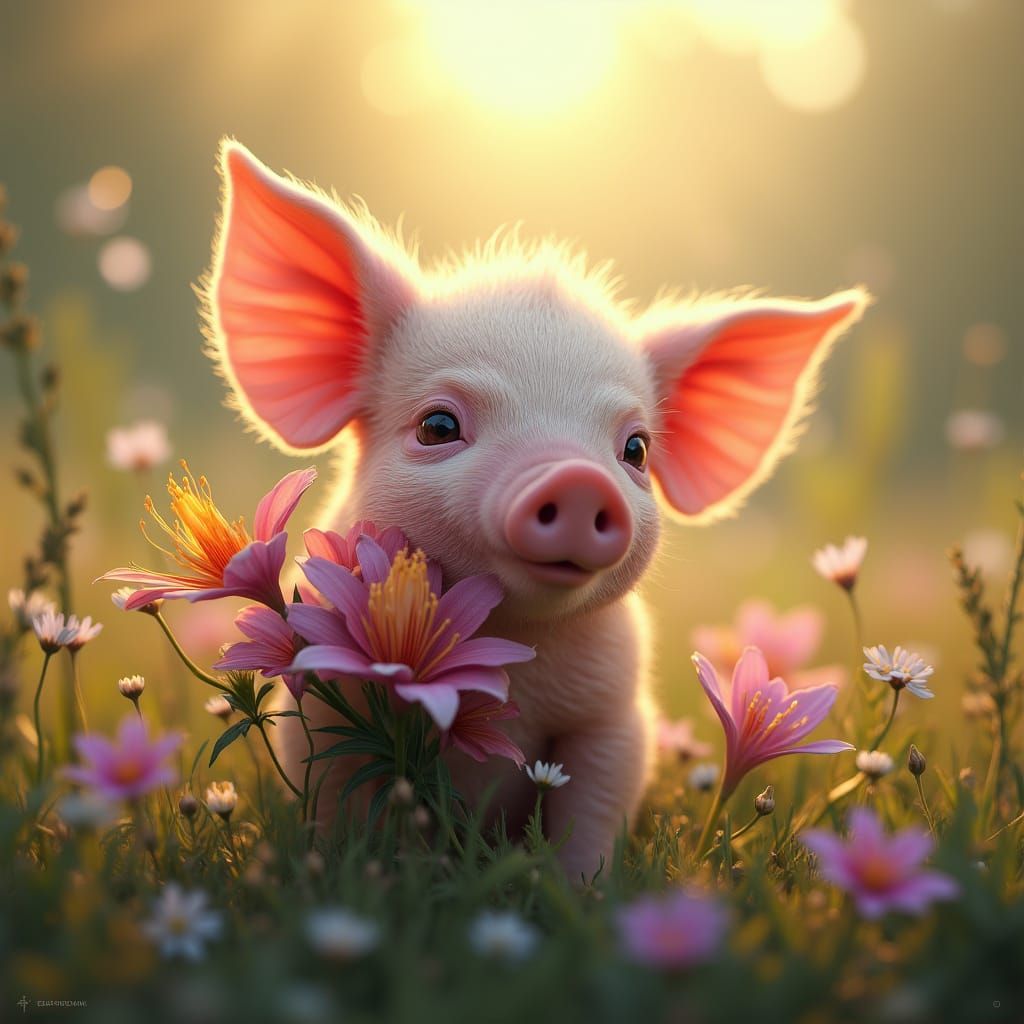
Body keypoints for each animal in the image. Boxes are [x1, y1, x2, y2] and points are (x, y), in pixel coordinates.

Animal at [202, 139, 868, 879]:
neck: (512, 649)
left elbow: (591, 812)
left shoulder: (614, 718)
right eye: (437, 425)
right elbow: (350, 804)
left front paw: (580, 890)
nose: (578, 479)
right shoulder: (323, 696)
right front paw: (382, 876)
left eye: (636, 449)